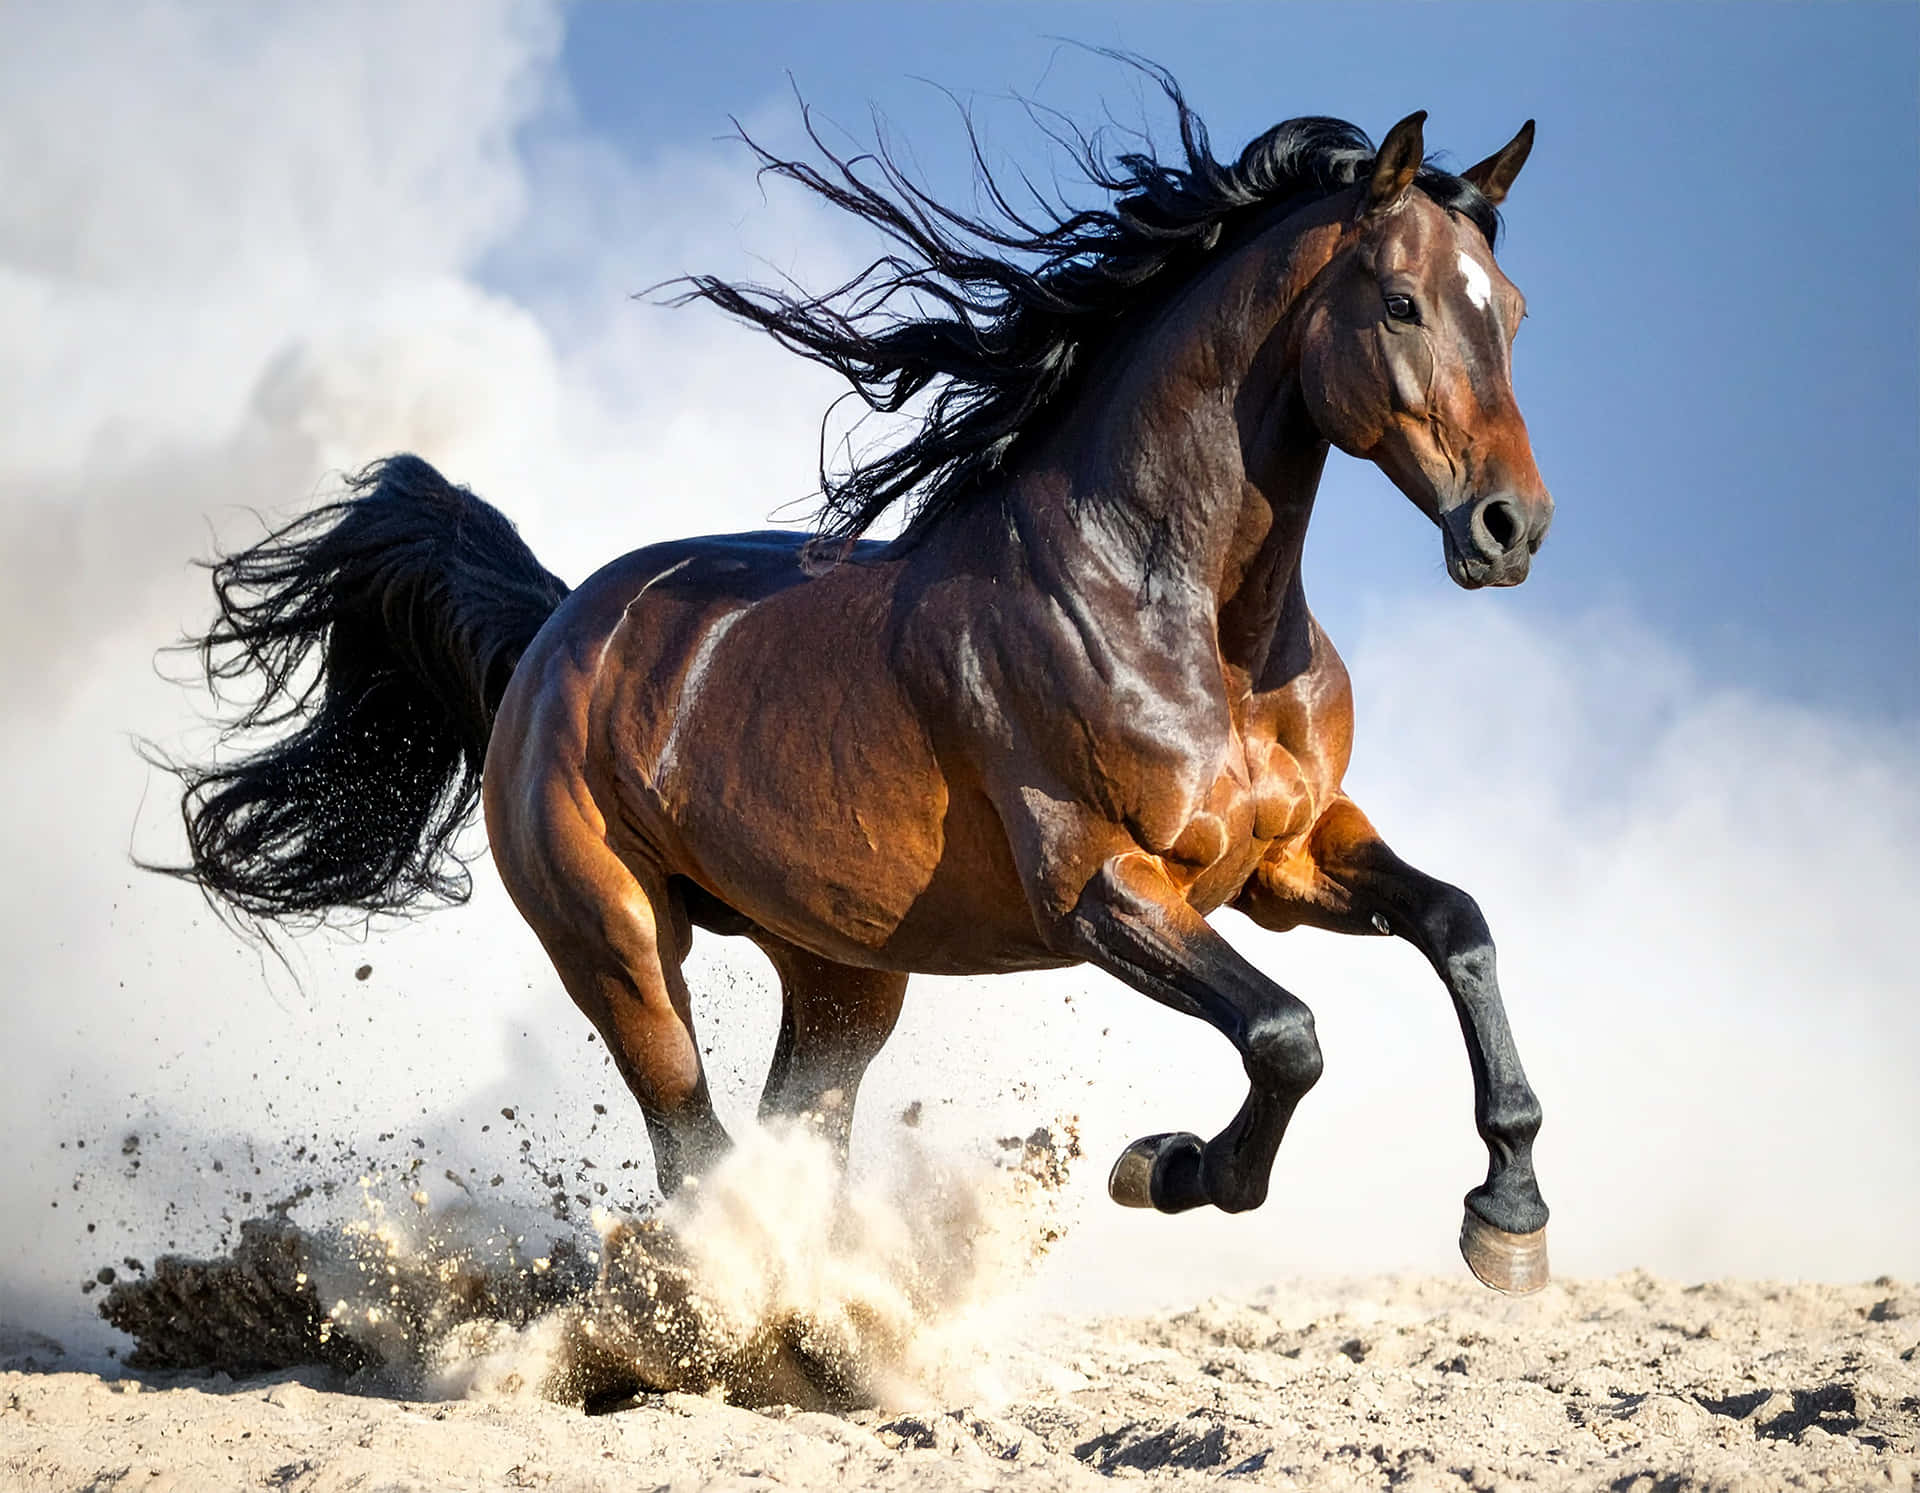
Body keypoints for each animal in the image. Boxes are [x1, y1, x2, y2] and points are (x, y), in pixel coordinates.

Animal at [161, 87, 1556, 1294]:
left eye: (1513, 310)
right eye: (1401, 303)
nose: (1510, 528)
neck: (1181, 615)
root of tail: (554, 631)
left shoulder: (1289, 859)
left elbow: (1460, 925)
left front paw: (1509, 1214)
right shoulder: (1102, 887)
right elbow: (1286, 1035)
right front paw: (1162, 1165)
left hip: (842, 981)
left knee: (793, 1145)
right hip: (619, 947)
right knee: (696, 1152)